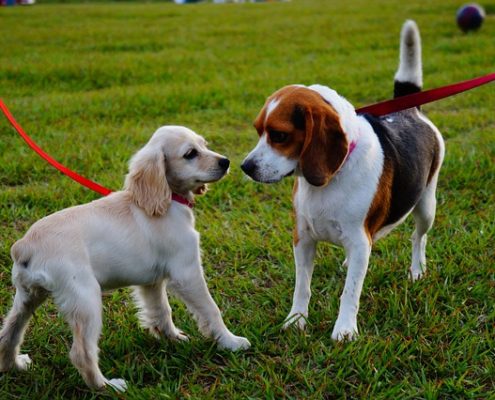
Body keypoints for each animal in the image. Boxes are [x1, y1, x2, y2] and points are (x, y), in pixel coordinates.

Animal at [0, 126, 248, 392]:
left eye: (204, 145)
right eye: (190, 153)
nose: (226, 162)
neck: (168, 200)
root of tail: (25, 246)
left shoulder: (152, 282)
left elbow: (161, 310)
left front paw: (171, 338)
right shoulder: (187, 272)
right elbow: (211, 310)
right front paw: (230, 341)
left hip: (28, 297)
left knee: (9, 333)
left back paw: (15, 365)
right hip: (85, 299)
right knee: (81, 353)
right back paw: (108, 386)